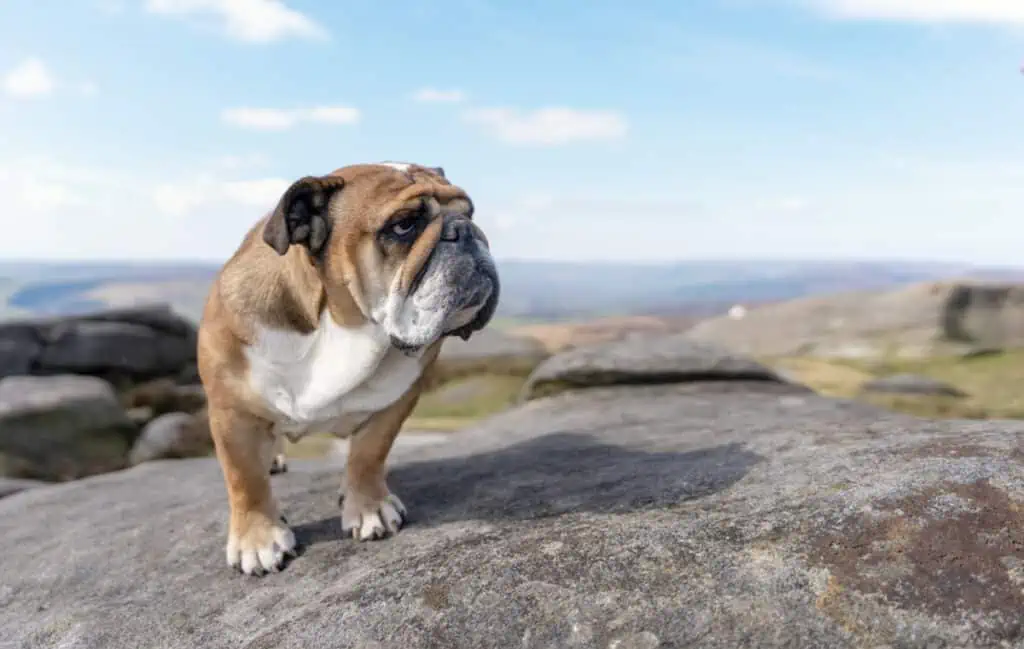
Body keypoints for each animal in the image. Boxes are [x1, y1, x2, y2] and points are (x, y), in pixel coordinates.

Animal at [195, 162, 499, 577]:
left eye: (470, 213)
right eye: (403, 225)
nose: (466, 231)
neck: (346, 329)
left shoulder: (396, 401)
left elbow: (368, 455)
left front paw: (369, 508)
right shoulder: (231, 410)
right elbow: (244, 478)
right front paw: (257, 540)